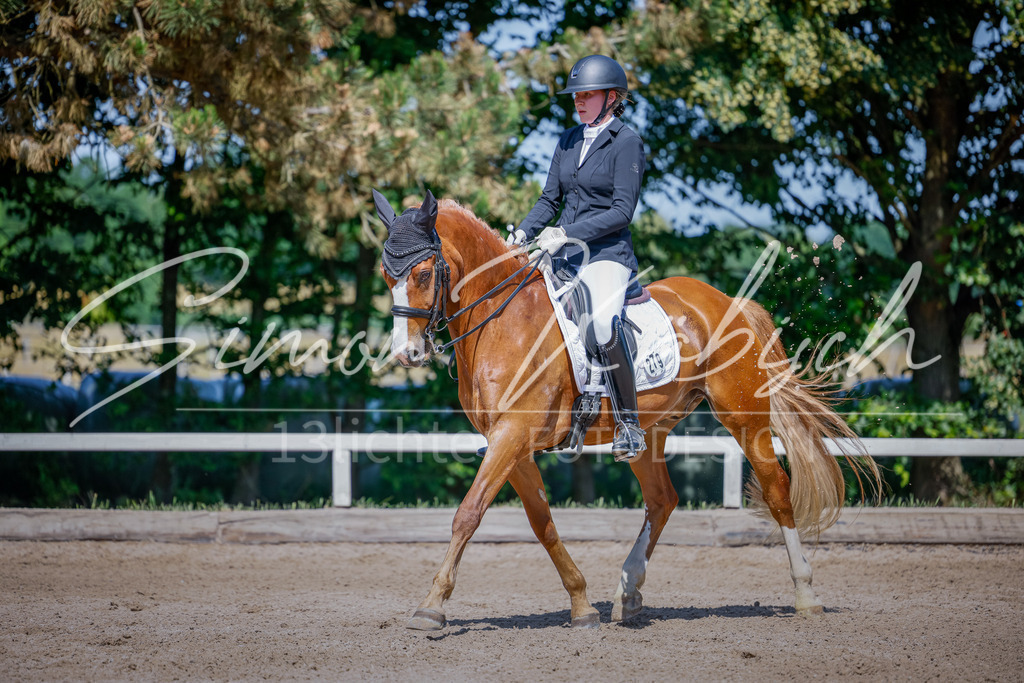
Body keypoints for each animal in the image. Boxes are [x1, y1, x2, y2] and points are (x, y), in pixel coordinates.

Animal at [373, 189, 880, 630]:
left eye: (423, 274)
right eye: (385, 274)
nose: (407, 355)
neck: (502, 319)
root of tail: (729, 303)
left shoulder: (511, 436)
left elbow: (468, 513)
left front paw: (431, 607)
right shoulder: (510, 445)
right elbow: (541, 523)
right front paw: (581, 605)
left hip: (743, 416)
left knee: (776, 490)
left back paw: (806, 594)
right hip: (647, 431)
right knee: (662, 499)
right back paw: (628, 594)